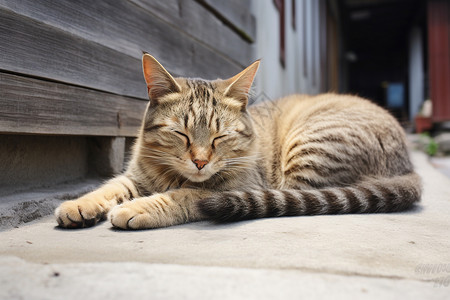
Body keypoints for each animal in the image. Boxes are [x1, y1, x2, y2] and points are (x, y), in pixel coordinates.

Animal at [54, 52, 420, 229]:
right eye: (181, 133)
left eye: (220, 137)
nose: (200, 161)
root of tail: (407, 164)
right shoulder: (136, 177)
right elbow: (108, 187)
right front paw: (79, 204)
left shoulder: (236, 186)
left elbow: (182, 196)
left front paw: (140, 207)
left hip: (309, 148)